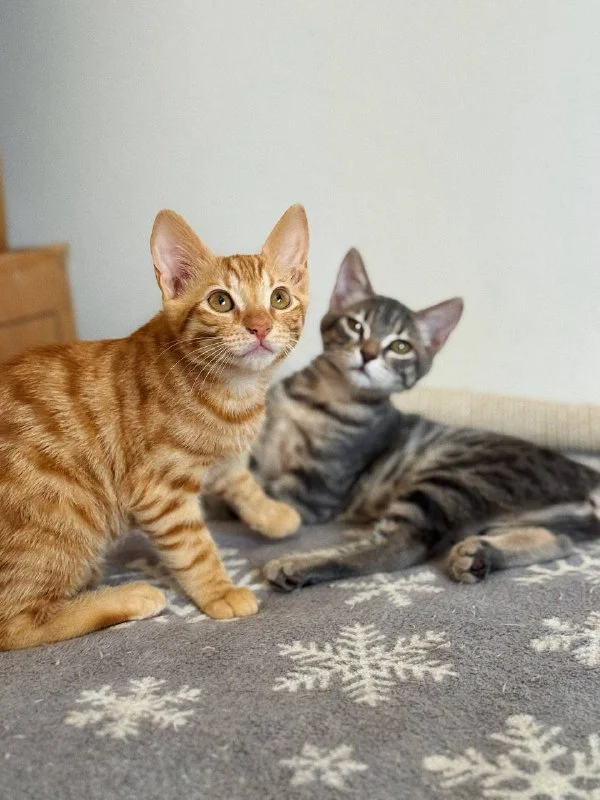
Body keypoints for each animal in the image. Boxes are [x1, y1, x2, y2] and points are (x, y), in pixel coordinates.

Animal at [0, 204, 309, 649]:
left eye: (279, 298)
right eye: (220, 301)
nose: (260, 326)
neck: (234, 396)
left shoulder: (223, 460)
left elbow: (241, 482)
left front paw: (274, 515)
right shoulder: (160, 492)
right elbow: (195, 548)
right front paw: (220, 592)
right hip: (66, 512)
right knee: (15, 625)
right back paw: (130, 596)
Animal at [249, 248, 600, 590]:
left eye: (400, 346)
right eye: (356, 326)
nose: (368, 353)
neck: (320, 395)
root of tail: (586, 474)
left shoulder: (314, 487)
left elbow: (252, 498)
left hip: (452, 479)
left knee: (400, 547)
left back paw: (299, 564)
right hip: (525, 517)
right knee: (562, 540)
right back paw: (482, 556)